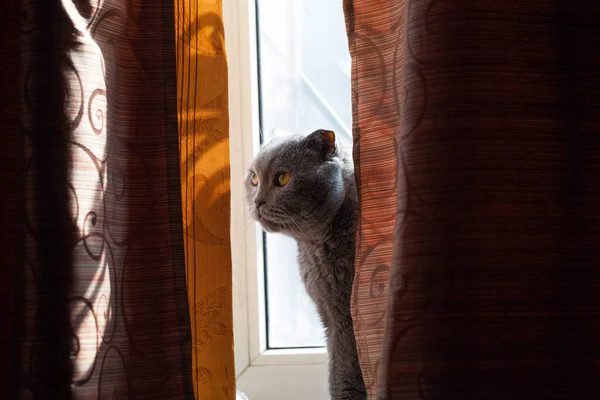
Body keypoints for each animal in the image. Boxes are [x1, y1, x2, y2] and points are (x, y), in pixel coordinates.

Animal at [244, 130, 366, 398]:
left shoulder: (345, 319)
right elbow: (337, 371)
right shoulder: (331, 319)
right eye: (254, 178)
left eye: (283, 178)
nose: (257, 201)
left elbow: (347, 370)